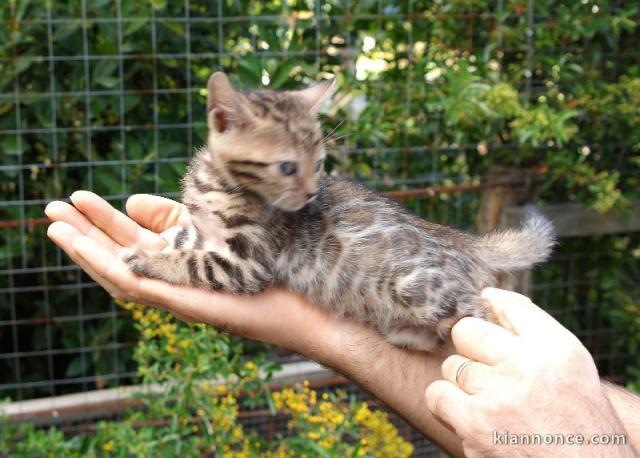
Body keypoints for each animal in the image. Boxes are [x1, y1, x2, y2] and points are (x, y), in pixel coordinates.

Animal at [125, 71, 556, 350]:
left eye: (317, 164)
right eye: (287, 167)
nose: (311, 194)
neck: (220, 185)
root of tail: (463, 244)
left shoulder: (248, 262)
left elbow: (193, 262)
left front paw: (148, 260)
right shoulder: (204, 231)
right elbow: (183, 238)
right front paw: (160, 240)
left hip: (420, 287)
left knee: (478, 307)